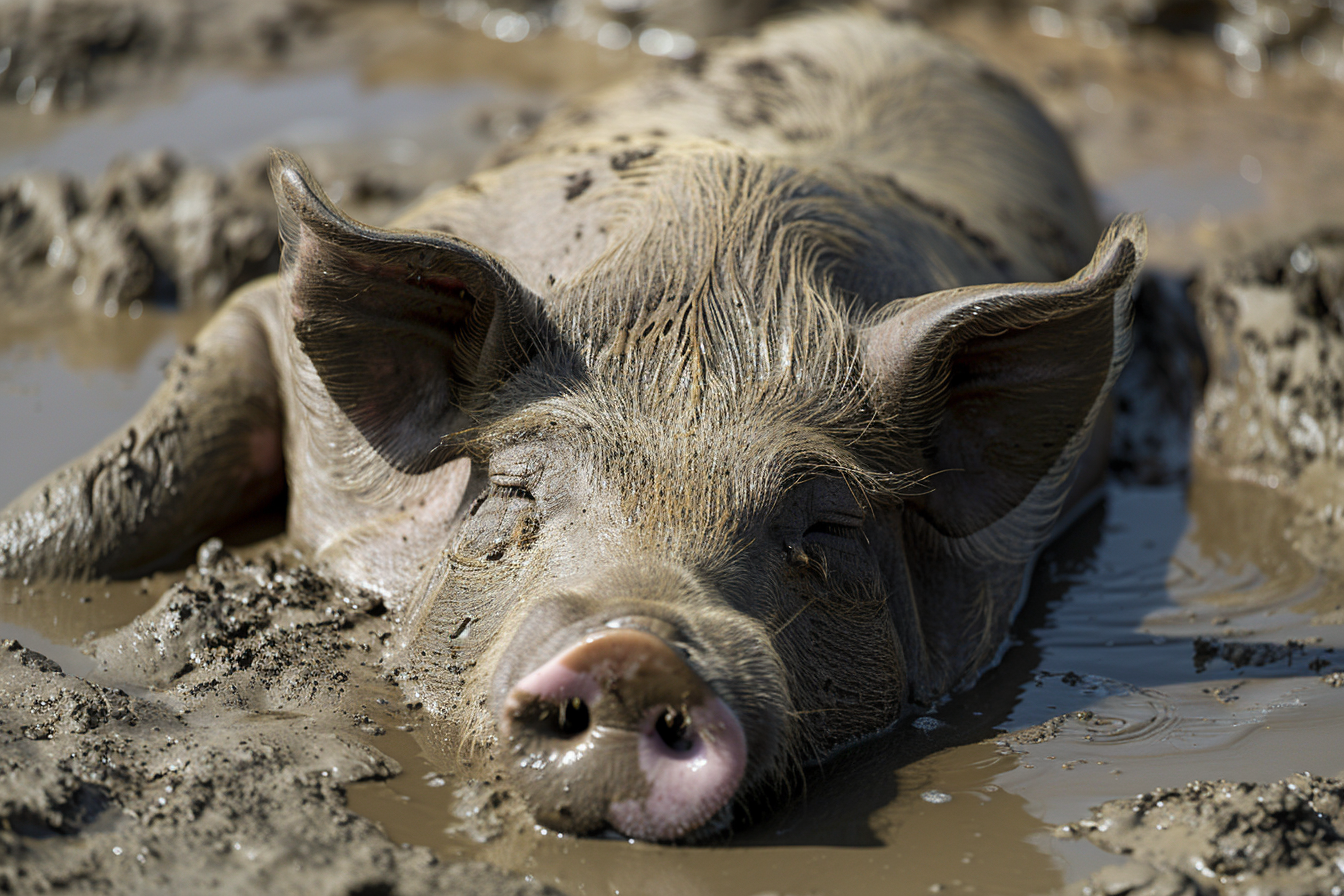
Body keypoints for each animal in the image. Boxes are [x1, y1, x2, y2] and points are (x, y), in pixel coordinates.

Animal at [0, 11, 1144, 841]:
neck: (715, 290)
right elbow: (105, 495)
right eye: (515, 490)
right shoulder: (261, 327)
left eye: (826, 529)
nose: (635, 648)